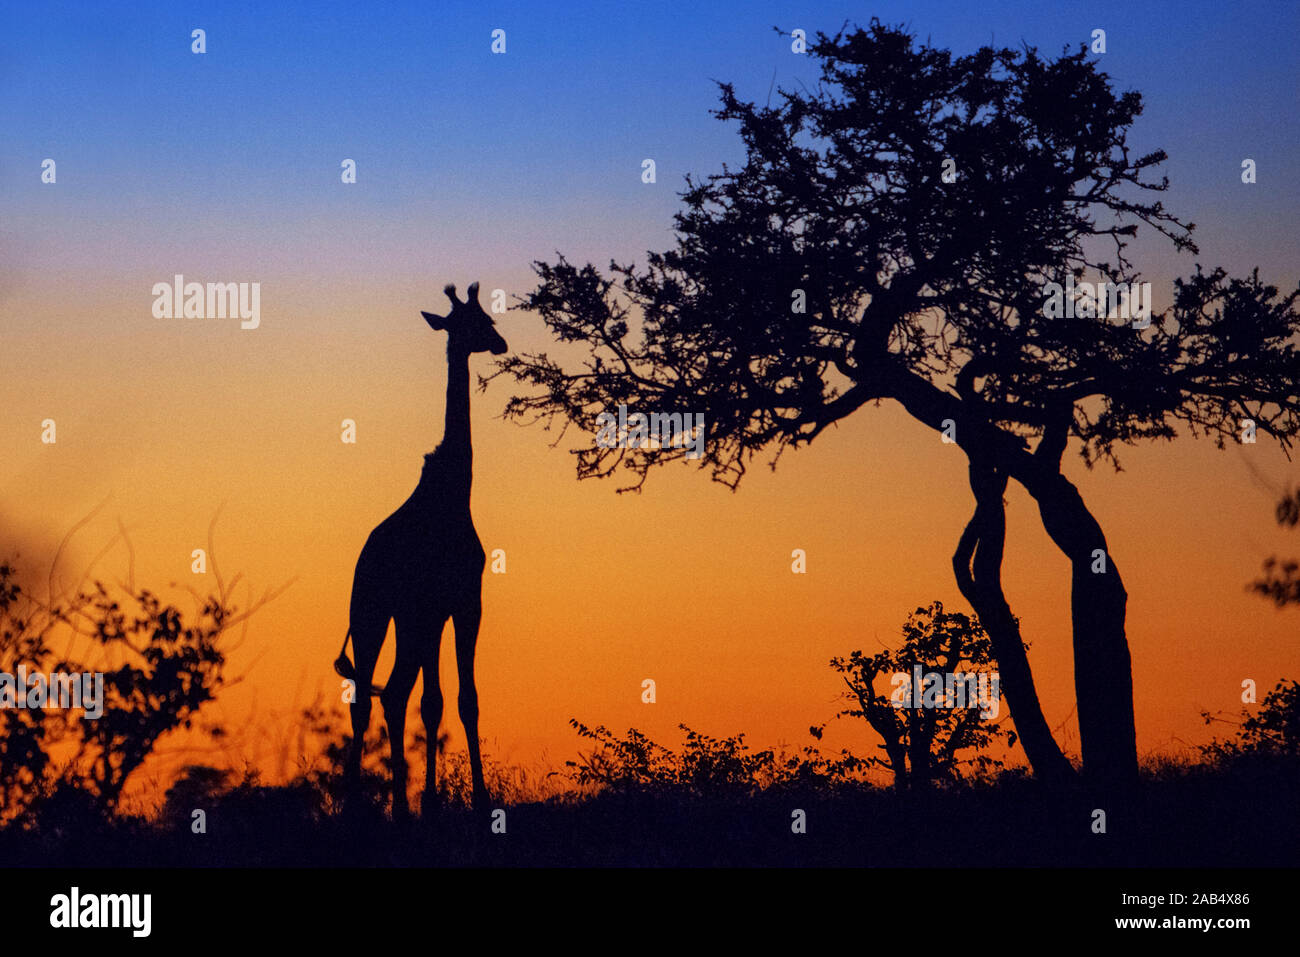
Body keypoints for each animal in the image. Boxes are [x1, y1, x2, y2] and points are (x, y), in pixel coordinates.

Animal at [334, 281, 507, 818]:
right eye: (479, 322)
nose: (501, 343)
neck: (453, 493)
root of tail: (366, 561)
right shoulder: (464, 602)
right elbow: (461, 699)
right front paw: (477, 800)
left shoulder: (441, 608)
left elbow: (434, 703)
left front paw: (431, 800)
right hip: (377, 613)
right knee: (383, 692)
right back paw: (379, 806)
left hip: (380, 613)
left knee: (380, 693)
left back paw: (379, 806)